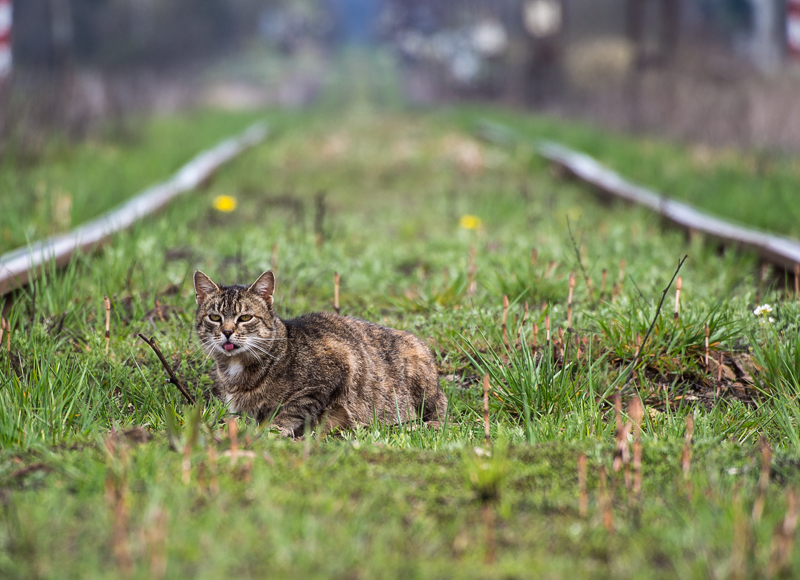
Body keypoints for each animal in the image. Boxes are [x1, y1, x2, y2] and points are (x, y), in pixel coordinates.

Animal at [191, 270, 446, 436]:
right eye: (214, 317)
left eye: (245, 317)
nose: (226, 332)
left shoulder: (337, 367)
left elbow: (292, 410)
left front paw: (271, 431)